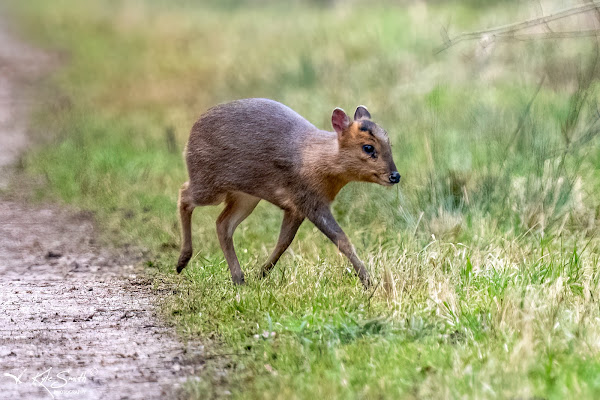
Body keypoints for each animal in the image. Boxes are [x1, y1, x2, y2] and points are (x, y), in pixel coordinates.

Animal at [175, 99, 398, 290]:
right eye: (368, 147)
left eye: (389, 143)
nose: (395, 176)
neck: (317, 160)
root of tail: (191, 135)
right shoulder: (310, 201)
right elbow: (342, 240)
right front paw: (368, 282)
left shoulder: (295, 208)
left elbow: (284, 241)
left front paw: (261, 273)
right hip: (209, 184)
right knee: (184, 194)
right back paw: (182, 261)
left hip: (246, 197)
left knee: (223, 224)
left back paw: (238, 278)